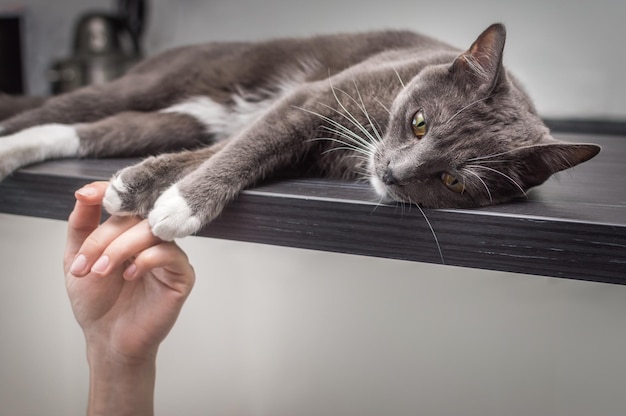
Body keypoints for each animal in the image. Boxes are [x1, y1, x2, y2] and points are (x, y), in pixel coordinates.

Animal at [0, 24, 600, 240]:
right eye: (419, 122)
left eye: (454, 181)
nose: (390, 173)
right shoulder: (307, 100)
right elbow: (248, 146)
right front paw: (180, 207)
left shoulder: (301, 148)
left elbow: (227, 150)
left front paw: (148, 192)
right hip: (154, 82)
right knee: (59, 108)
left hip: (182, 115)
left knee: (93, 128)